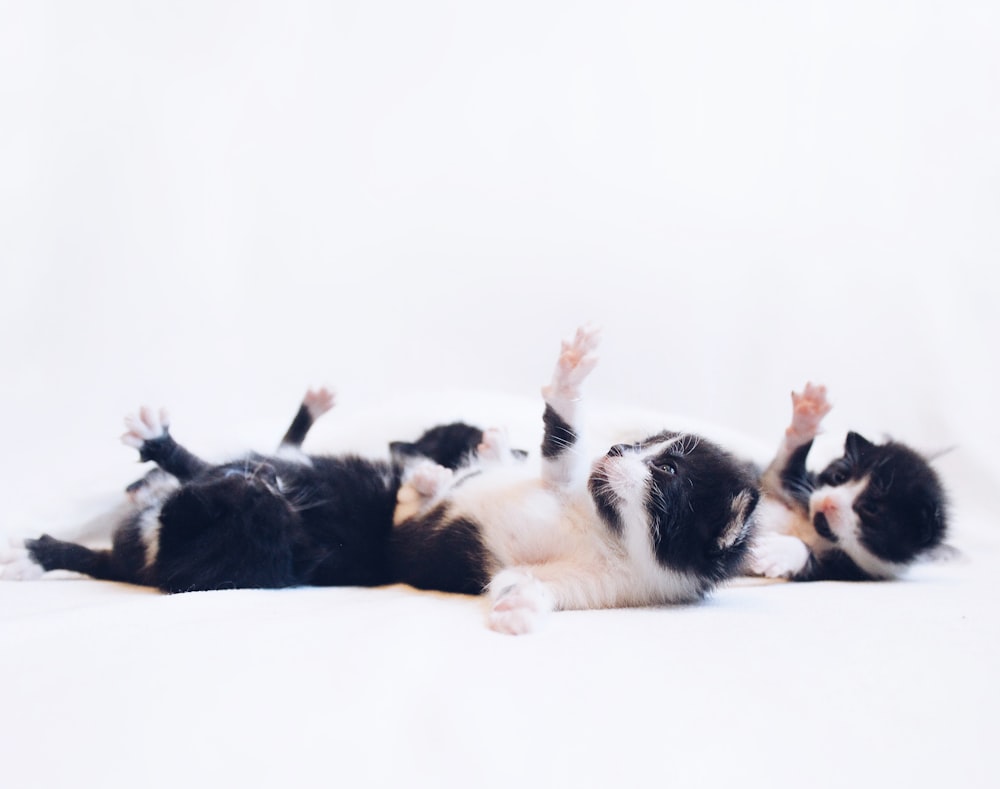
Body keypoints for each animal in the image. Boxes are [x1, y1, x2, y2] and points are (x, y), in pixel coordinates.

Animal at [3, 388, 488, 592]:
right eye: (431, 437)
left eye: (247, 481)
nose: (268, 476)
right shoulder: (132, 563)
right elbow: (93, 559)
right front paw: (40, 555)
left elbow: (190, 463)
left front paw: (157, 443)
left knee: (287, 441)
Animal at [384, 324, 756, 636]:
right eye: (640, 444)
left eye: (667, 469)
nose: (616, 448)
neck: (602, 532)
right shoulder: (563, 481)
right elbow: (564, 443)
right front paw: (570, 376)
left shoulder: (610, 585)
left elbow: (518, 578)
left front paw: (521, 602)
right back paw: (448, 470)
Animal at [752, 382, 952, 580]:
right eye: (839, 477)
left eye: (870, 508)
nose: (828, 501)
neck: (816, 531)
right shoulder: (785, 489)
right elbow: (780, 473)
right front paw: (807, 417)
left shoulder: (852, 570)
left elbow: (814, 563)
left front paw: (779, 551)